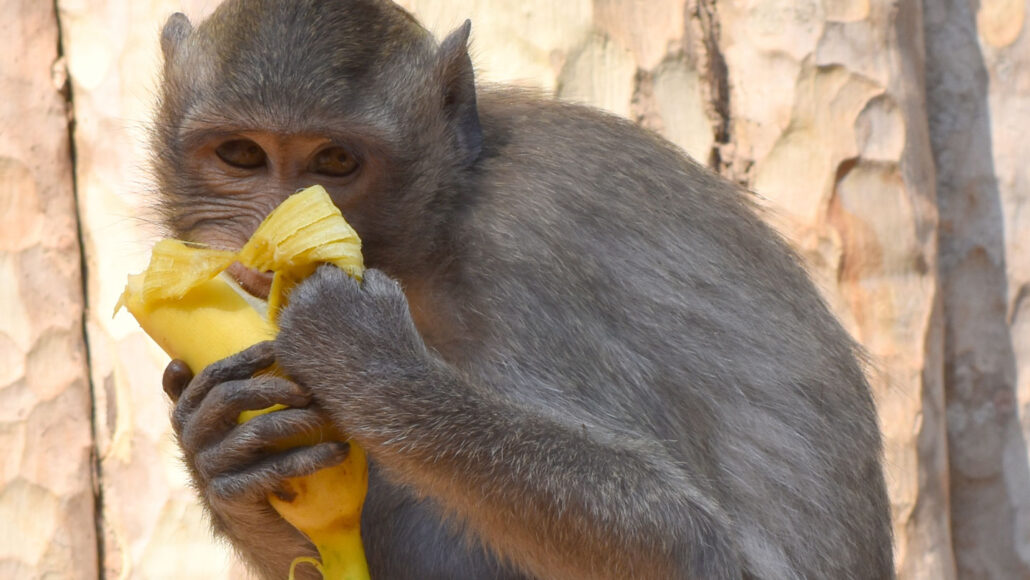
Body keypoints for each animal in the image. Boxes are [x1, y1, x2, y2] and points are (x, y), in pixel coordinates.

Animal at [150, 1, 894, 580]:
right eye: (240, 154)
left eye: (335, 161)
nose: (261, 247)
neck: (436, 228)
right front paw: (216, 450)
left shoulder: (527, 255)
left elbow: (684, 540)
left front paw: (368, 362)